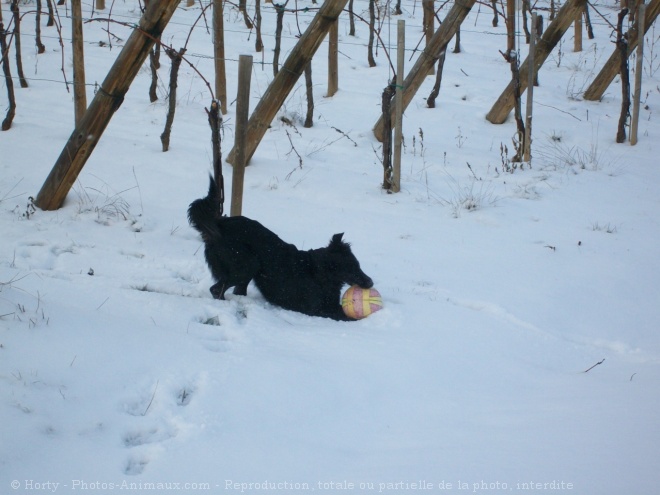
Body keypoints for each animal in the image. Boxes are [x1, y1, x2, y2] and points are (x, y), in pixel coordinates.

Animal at [188, 178, 374, 322]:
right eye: (351, 267)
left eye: (358, 265)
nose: (371, 282)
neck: (319, 273)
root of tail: (219, 223)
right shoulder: (315, 309)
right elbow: (345, 316)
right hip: (247, 265)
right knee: (216, 289)